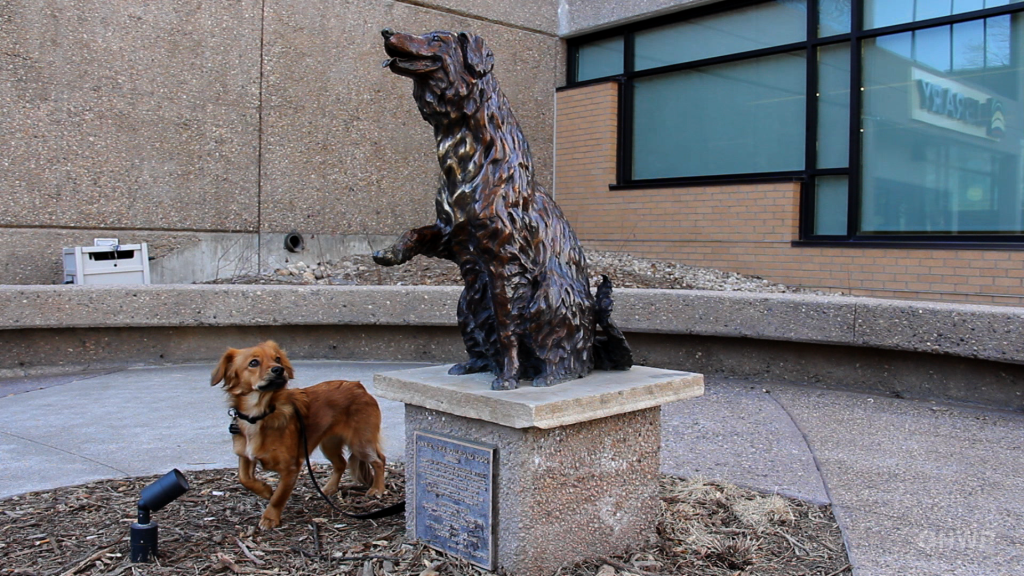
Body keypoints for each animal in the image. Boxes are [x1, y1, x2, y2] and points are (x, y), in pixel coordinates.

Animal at [209, 338, 385, 528]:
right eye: (253, 363)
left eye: (277, 359)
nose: (279, 369)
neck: (260, 414)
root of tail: (358, 386)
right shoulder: (245, 455)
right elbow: (244, 479)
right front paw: (265, 490)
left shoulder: (291, 468)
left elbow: (279, 496)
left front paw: (270, 517)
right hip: (329, 445)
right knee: (341, 463)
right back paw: (330, 488)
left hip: (360, 443)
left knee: (379, 461)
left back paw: (377, 489)